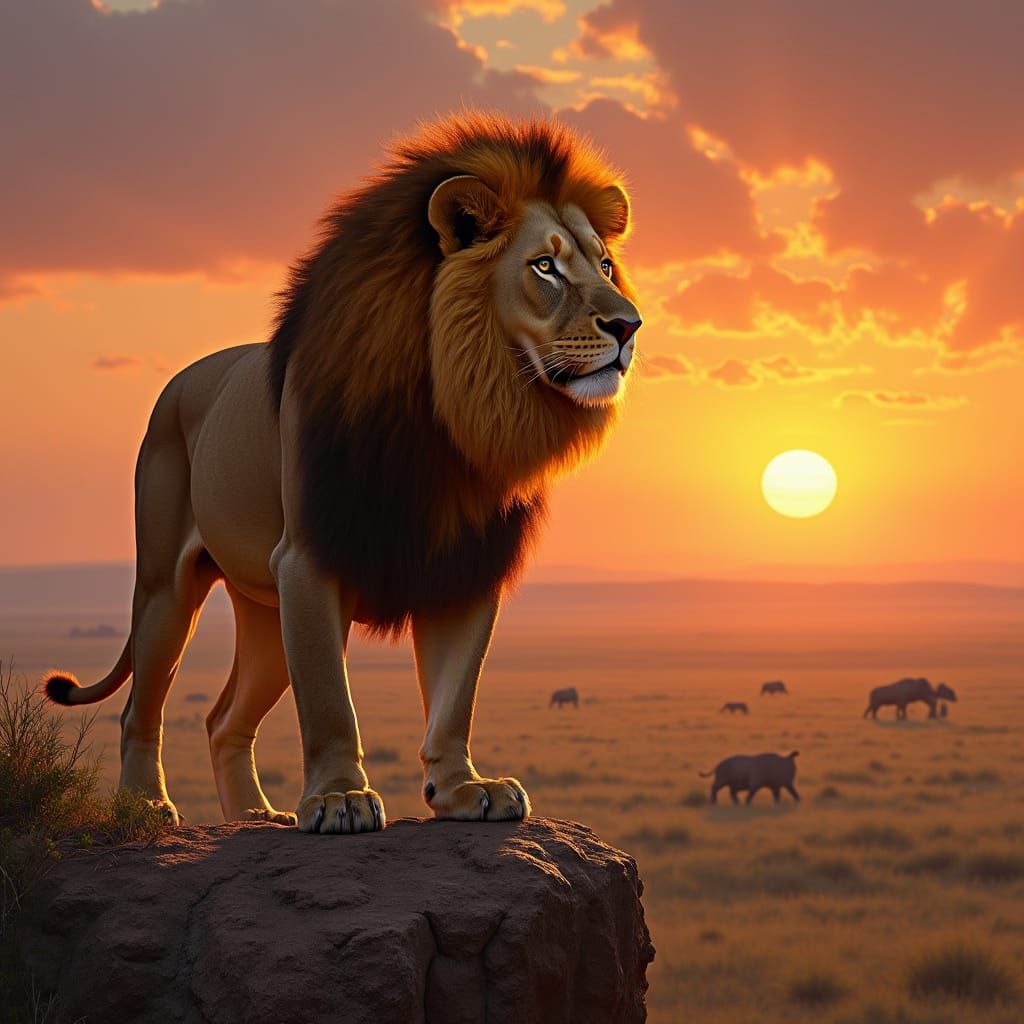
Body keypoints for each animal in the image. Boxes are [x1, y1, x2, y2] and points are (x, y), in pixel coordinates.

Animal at [43, 112, 641, 835]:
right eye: (545, 266)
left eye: (605, 263)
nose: (630, 324)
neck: (454, 414)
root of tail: (185, 377)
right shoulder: (309, 559)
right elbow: (330, 699)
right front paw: (338, 800)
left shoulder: (466, 564)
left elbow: (455, 694)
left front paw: (465, 789)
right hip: (167, 587)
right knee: (142, 704)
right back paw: (146, 805)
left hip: (264, 610)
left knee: (223, 719)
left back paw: (255, 815)